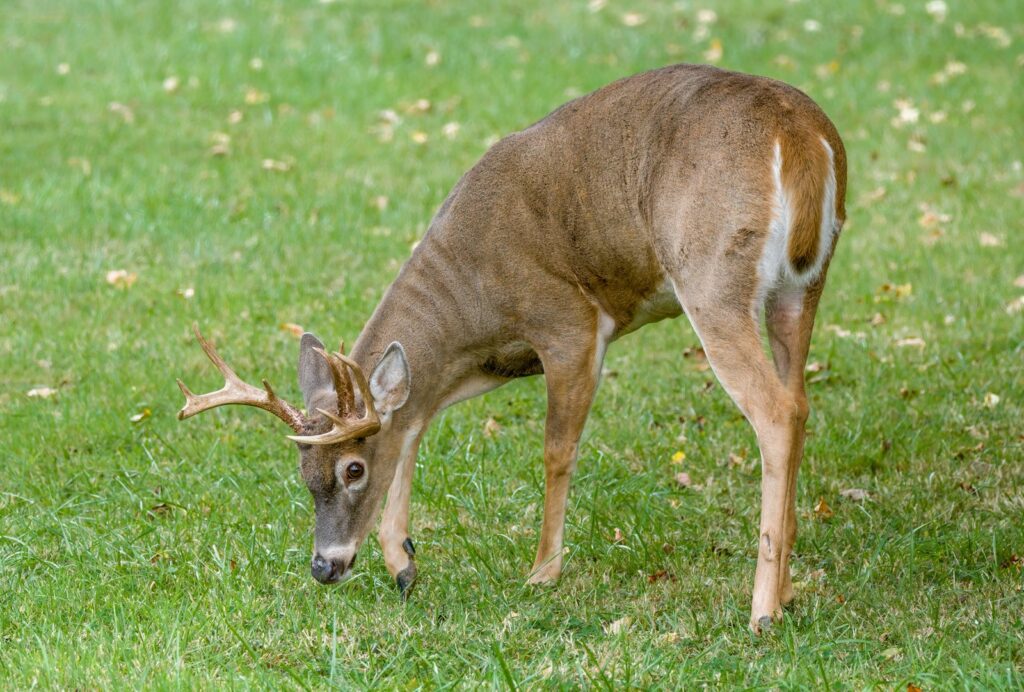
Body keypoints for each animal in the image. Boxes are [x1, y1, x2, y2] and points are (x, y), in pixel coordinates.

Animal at [176, 64, 846, 632]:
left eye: (353, 469)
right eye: (303, 473)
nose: (324, 567)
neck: (473, 294)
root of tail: (802, 135)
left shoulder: (569, 324)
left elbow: (555, 451)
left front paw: (542, 570)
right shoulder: (487, 362)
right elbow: (413, 418)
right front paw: (404, 562)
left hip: (711, 277)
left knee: (774, 410)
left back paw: (762, 610)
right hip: (801, 287)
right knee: (800, 401)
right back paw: (787, 590)